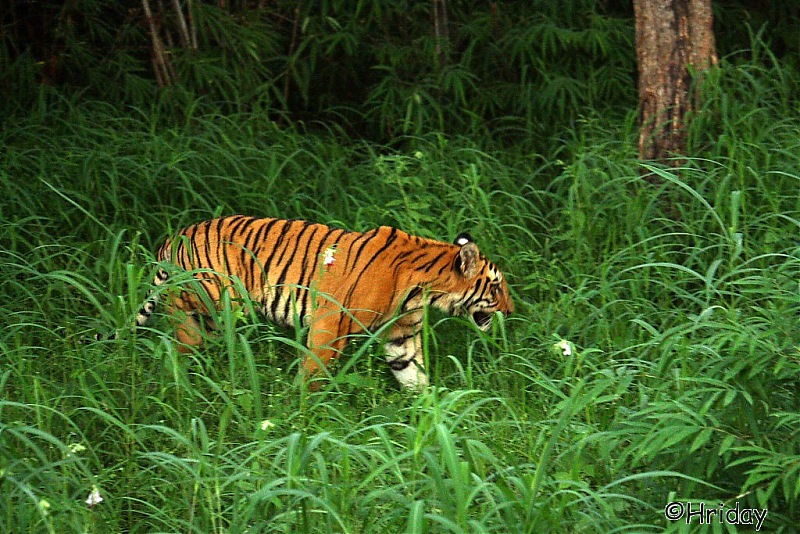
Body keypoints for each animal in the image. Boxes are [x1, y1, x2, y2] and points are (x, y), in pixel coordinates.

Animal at [130, 216, 512, 392]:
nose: (510, 311)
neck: (424, 288)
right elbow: (312, 375)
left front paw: (435, 416)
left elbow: (413, 375)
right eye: (496, 287)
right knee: (177, 344)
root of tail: (174, 237)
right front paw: (301, 418)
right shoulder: (330, 324)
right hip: (207, 307)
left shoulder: (401, 337)